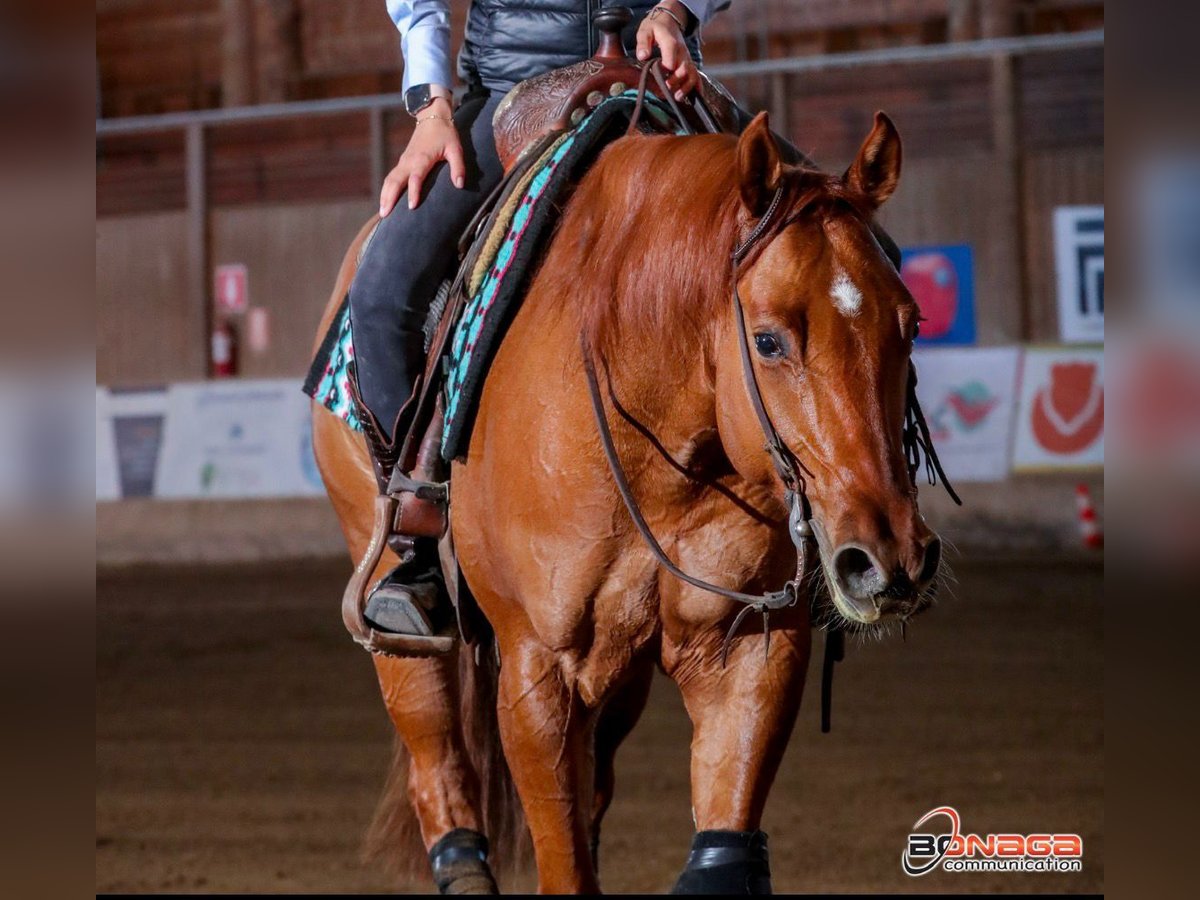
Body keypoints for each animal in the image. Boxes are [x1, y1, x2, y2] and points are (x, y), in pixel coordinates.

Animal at [311, 109, 942, 894]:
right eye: (768, 340)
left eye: (910, 324)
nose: (889, 558)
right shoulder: (537, 673)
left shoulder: (747, 653)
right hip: (397, 619)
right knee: (435, 753)